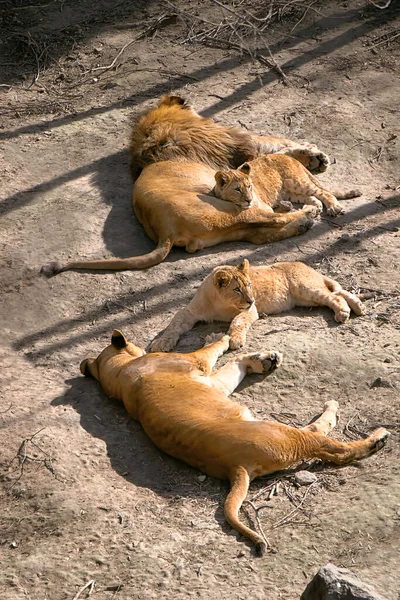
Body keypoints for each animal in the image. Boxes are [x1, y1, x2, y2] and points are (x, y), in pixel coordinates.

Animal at [42, 97, 332, 278]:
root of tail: (164, 231)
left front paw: (313, 156)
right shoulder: (235, 150)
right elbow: (272, 145)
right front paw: (312, 155)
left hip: (228, 230)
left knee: (262, 234)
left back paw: (302, 222)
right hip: (233, 210)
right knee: (270, 218)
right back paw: (307, 214)